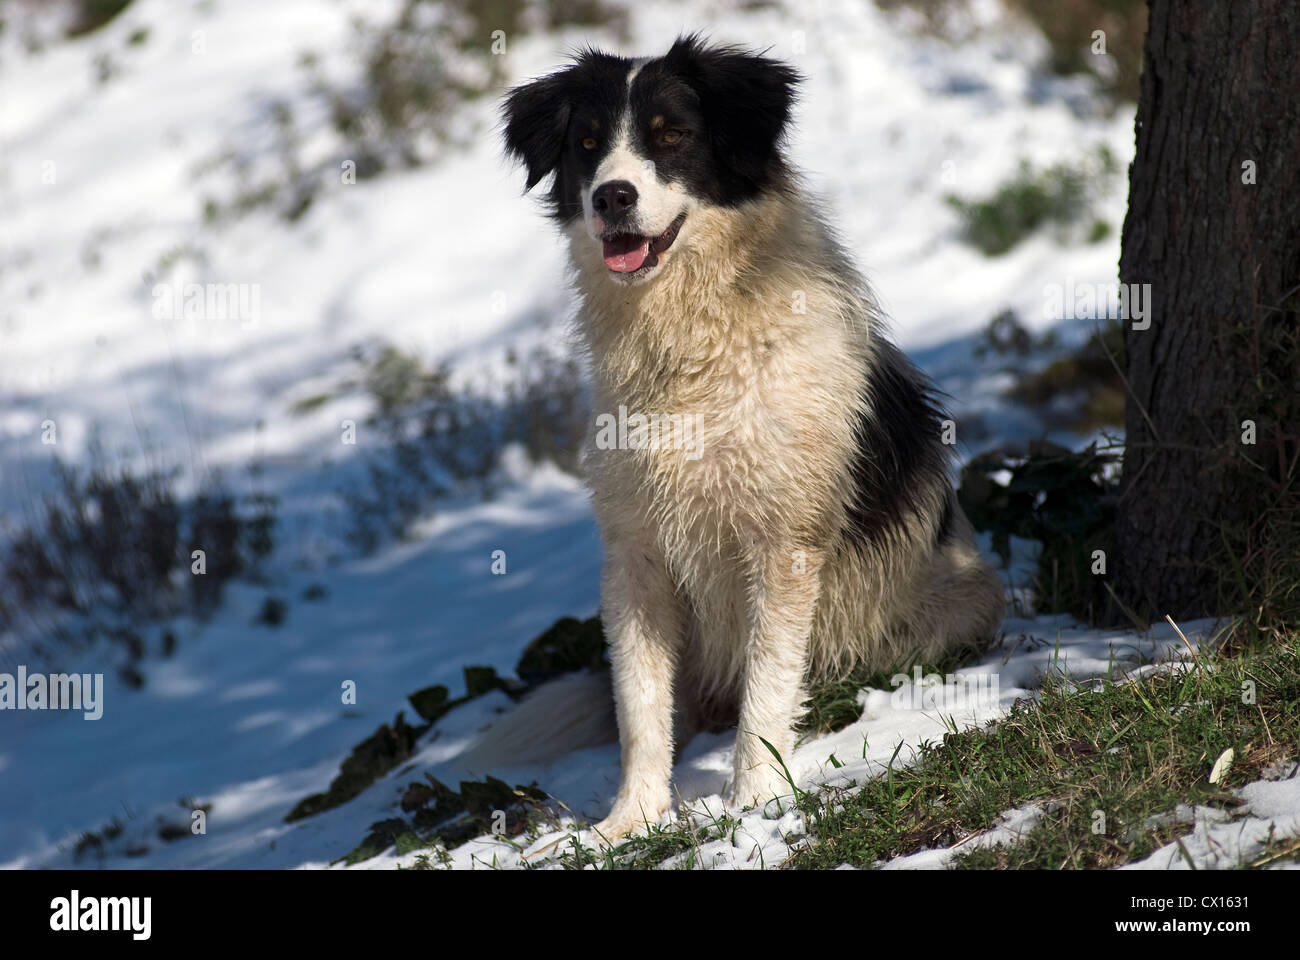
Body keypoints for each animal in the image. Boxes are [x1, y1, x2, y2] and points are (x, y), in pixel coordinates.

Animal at [488, 33, 1003, 832]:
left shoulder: (783, 543)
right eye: (588, 144)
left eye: (671, 136)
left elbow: (769, 681)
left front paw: (756, 798)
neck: (691, 343)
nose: (612, 197)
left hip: (954, 603)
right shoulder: (634, 552)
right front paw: (630, 820)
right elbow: (639, 705)